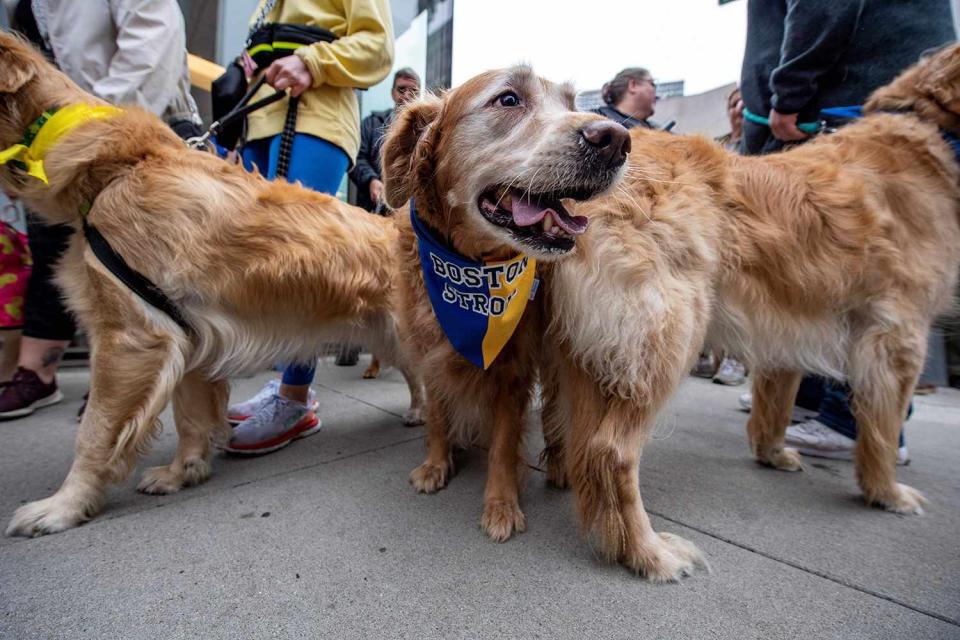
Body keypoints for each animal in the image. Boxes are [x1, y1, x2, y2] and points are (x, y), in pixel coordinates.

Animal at [378, 66, 632, 540]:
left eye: (570, 104)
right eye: (509, 99)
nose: (617, 139)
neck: (470, 271)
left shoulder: (514, 369)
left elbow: (503, 442)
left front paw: (500, 505)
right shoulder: (428, 355)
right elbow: (437, 414)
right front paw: (436, 464)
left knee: (554, 413)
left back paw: (558, 465)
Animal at [536, 42, 956, 576]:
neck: (924, 124)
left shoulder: (789, 327)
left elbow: (777, 400)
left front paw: (772, 453)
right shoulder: (899, 337)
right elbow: (882, 428)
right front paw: (887, 492)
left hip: (577, 348)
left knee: (566, 428)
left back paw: (574, 485)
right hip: (671, 335)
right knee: (610, 452)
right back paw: (647, 552)